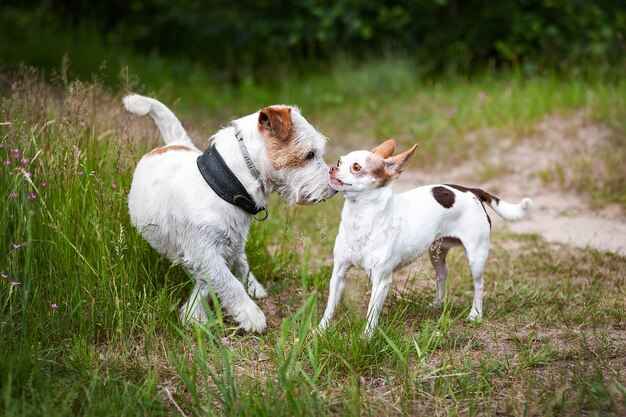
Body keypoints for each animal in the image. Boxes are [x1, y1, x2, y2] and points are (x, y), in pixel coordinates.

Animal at [123, 94, 334, 332]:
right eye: (309, 154)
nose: (334, 187)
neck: (226, 182)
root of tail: (176, 143)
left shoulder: (225, 245)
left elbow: (225, 274)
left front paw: (194, 313)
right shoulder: (204, 252)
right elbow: (228, 282)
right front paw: (250, 315)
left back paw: (254, 286)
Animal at [316, 139, 532, 334]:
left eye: (356, 167)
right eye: (340, 161)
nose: (332, 168)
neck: (360, 219)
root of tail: (472, 191)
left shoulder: (381, 281)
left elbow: (371, 314)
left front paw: (366, 337)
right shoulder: (339, 273)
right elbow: (330, 307)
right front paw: (321, 331)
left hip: (476, 257)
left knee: (479, 285)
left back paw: (475, 314)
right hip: (437, 252)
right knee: (442, 275)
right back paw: (437, 304)